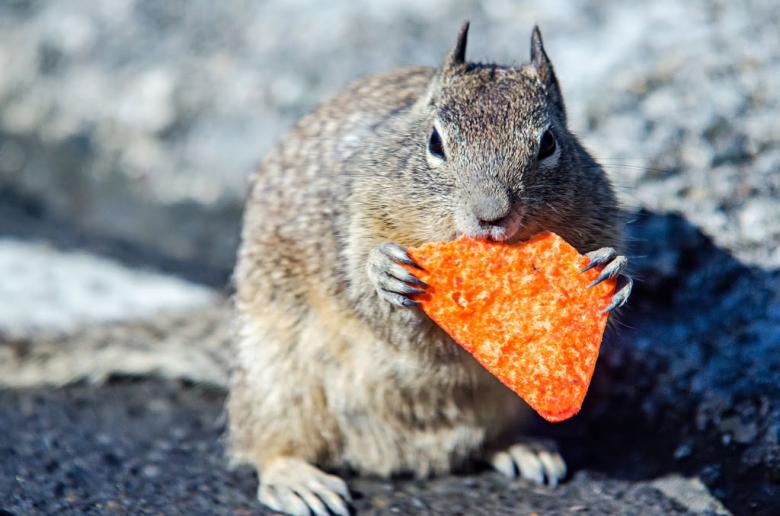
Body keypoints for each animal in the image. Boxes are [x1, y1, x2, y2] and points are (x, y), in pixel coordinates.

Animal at [228, 23, 632, 515]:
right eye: (435, 143)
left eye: (549, 143)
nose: (492, 215)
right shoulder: (357, 219)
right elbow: (375, 303)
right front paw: (384, 273)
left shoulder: (599, 213)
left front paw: (612, 271)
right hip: (274, 378)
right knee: (264, 445)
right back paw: (296, 479)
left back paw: (522, 448)